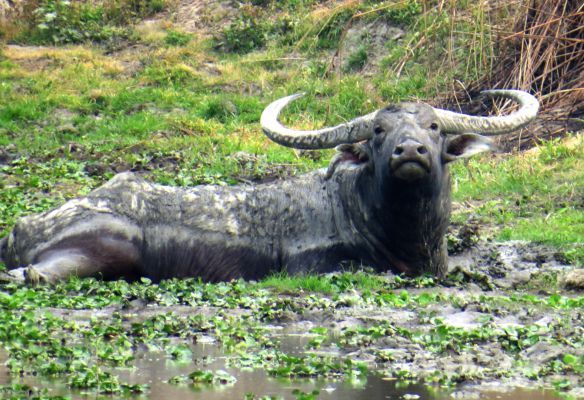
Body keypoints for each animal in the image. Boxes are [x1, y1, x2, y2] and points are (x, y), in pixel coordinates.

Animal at [0, 90, 540, 284]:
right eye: (378, 131)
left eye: (433, 127)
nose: (410, 152)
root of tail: (22, 228)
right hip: (106, 251)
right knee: (41, 275)